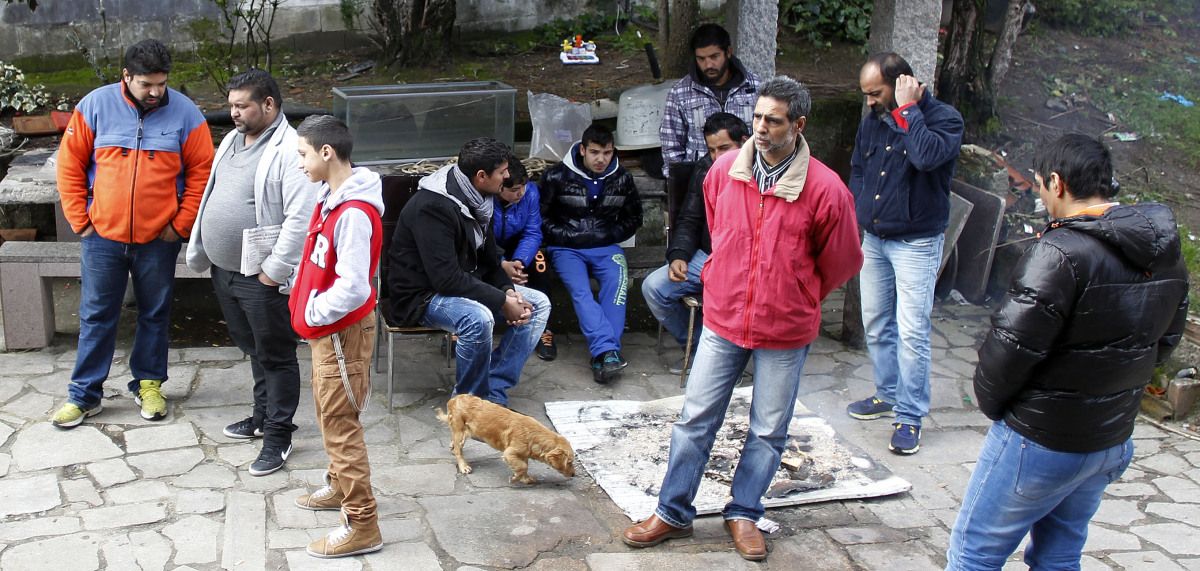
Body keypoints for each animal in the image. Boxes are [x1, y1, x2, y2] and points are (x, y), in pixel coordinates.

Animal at [436, 395, 576, 484]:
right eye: (569, 462)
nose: (574, 475)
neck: (533, 434)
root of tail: (454, 399)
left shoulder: (523, 453)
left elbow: (525, 465)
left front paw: (525, 478)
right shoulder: (509, 452)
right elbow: (522, 466)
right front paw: (515, 478)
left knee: (457, 443)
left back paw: (452, 446)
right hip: (459, 430)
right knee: (459, 451)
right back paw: (464, 466)